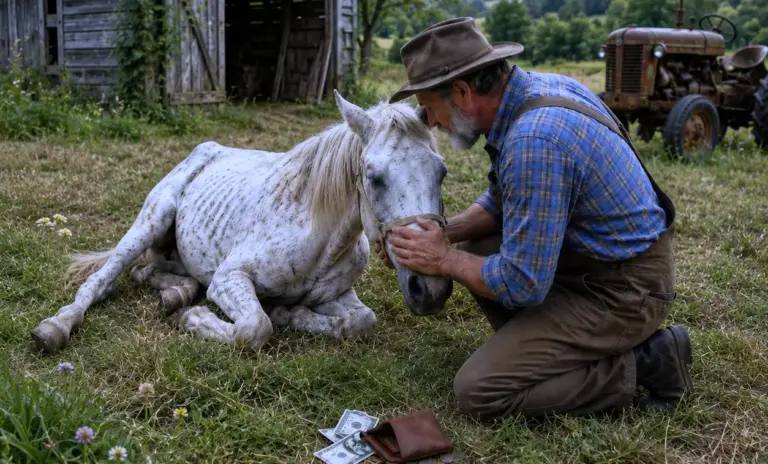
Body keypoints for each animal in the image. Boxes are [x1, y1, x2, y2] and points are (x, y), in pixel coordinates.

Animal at [30, 91, 454, 355]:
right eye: (374, 176)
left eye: (442, 172)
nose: (430, 289)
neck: (320, 238)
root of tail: (206, 150)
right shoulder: (229, 277)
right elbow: (255, 328)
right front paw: (197, 319)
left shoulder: (338, 295)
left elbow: (363, 321)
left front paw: (290, 314)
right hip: (151, 221)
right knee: (103, 278)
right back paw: (57, 326)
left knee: (148, 272)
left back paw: (176, 293)